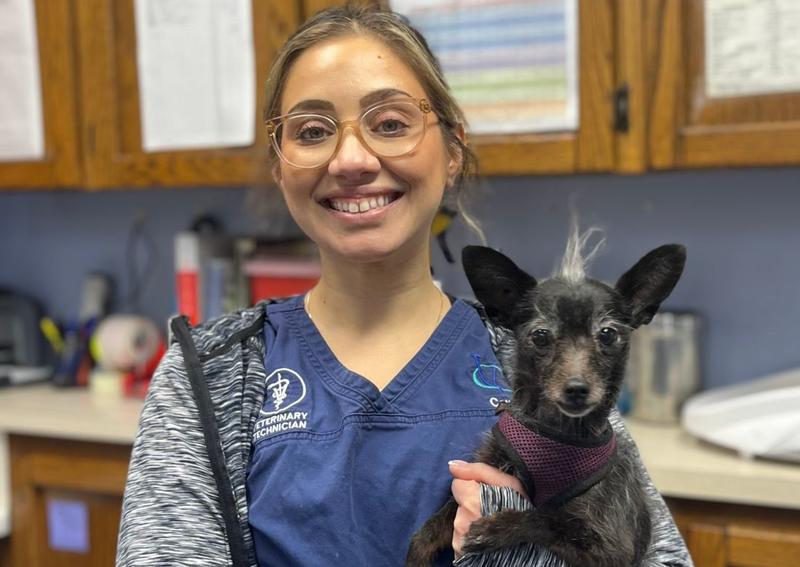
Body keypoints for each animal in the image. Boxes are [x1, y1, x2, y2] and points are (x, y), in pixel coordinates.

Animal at [406, 233, 688, 564]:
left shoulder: (612, 550)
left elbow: (548, 518)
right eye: (540, 336)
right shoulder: (487, 467)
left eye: (607, 334)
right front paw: (416, 554)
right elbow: (430, 526)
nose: (577, 389)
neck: (558, 431)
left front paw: (498, 527)